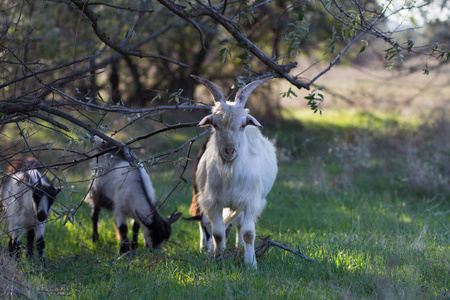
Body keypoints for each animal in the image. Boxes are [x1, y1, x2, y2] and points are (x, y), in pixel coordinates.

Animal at [190, 75, 278, 270]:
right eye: (214, 124)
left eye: (243, 124)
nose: (229, 151)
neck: (230, 173)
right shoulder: (213, 202)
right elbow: (218, 233)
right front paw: (219, 257)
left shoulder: (251, 201)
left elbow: (248, 233)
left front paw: (251, 264)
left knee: (239, 225)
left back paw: (239, 247)